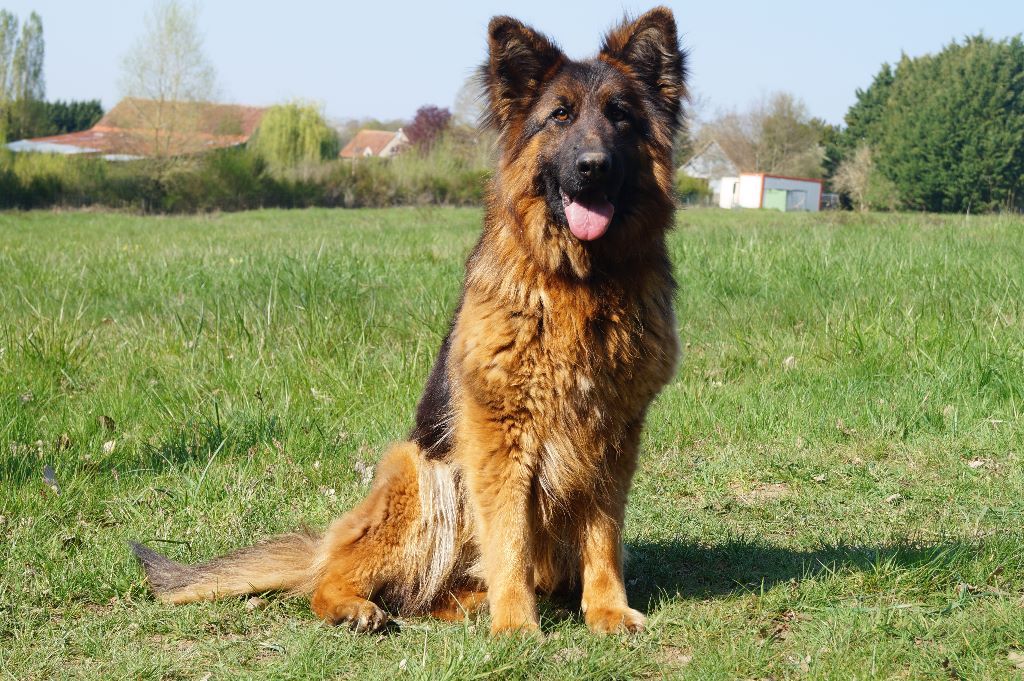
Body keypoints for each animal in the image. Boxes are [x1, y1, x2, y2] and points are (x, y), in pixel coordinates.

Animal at [132, 5, 684, 634]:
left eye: (620, 116)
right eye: (560, 116)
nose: (593, 167)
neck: (578, 283)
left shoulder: (612, 437)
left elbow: (603, 535)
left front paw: (607, 609)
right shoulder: (501, 437)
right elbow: (510, 539)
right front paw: (516, 625)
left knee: (430, 592)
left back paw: (469, 602)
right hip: (420, 474)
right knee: (335, 578)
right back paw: (357, 606)